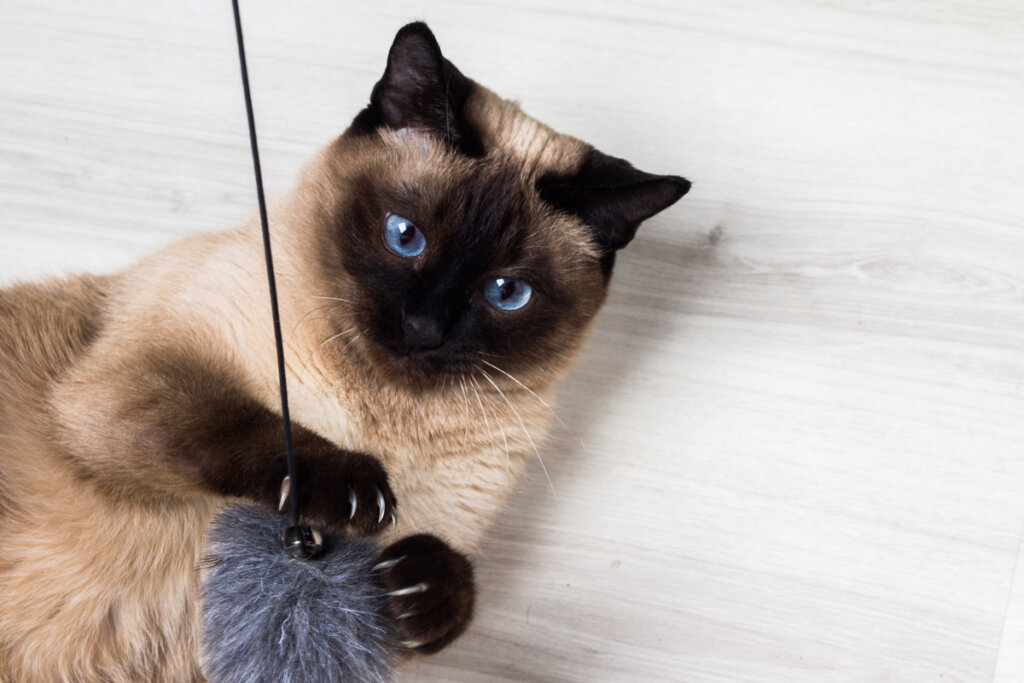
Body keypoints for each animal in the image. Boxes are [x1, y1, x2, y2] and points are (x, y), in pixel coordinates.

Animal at [0, 20, 692, 679]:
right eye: (404, 236)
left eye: (506, 292)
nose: (422, 328)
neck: (379, 413)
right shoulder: (129, 389)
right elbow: (242, 427)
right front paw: (359, 491)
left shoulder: (348, 634)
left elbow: (448, 581)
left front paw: (420, 586)